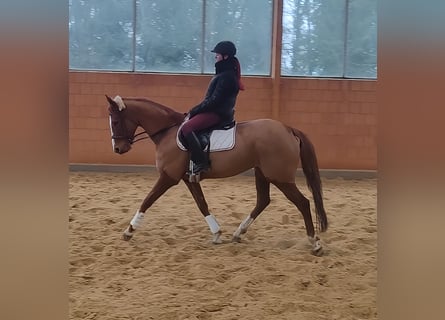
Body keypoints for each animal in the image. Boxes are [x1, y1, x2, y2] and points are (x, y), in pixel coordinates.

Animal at [104, 94, 326, 255]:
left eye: (115, 122)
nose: (118, 149)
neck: (167, 132)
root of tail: (288, 129)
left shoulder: (168, 177)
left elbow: (147, 201)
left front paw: (129, 230)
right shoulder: (188, 178)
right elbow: (202, 204)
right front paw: (217, 233)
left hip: (279, 177)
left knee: (303, 203)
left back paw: (314, 243)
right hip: (262, 173)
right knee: (263, 201)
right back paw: (238, 233)